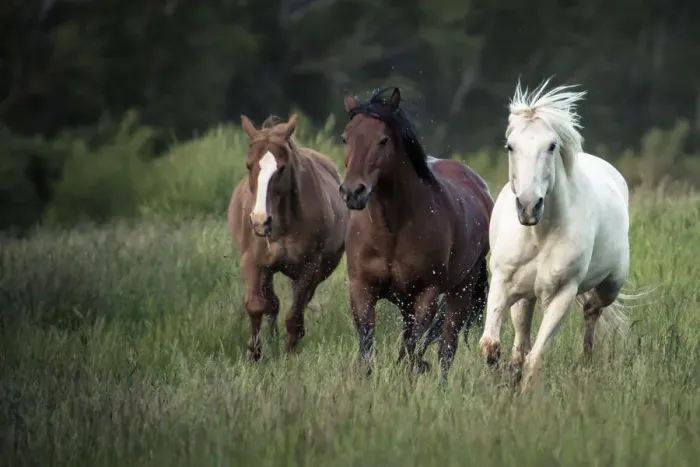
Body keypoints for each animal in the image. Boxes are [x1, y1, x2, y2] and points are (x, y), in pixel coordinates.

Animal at [228, 114, 348, 360]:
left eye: (281, 168)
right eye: (248, 165)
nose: (259, 221)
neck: (282, 223)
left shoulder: (309, 266)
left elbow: (295, 314)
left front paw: (290, 354)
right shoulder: (252, 261)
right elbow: (256, 305)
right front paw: (254, 353)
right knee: (272, 303)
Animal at [339, 87, 494, 382]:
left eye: (383, 140)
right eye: (345, 138)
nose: (353, 192)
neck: (391, 230)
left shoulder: (426, 295)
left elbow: (411, 350)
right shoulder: (361, 288)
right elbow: (367, 347)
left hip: (461, 290)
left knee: (447, 347)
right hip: (406, 301)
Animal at [478, 78, 633, 389]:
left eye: (551, 146)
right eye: (510, 146)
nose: (528, 206)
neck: (539, 234)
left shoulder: (562, 294)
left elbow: (535, 359)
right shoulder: (502, 283)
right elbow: (491, 347)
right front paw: (503, 382)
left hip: (611, 286)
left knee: (592, 311)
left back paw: (586, 362)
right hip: (524, 295)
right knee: (522, 334)